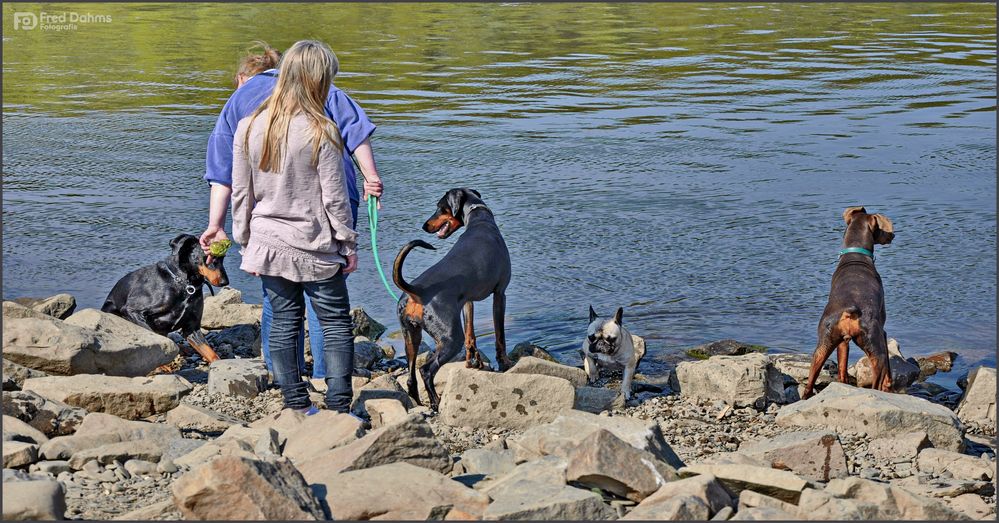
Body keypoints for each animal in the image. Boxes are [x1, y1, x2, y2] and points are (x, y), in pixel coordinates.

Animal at [105, 234, 230, 364]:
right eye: (207, 258)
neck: (186, 285)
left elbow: (211, 353)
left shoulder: (192, 328)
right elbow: (154, 341)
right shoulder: (132, 310)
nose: (225, 282)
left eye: (223, 257)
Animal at [392, 190, 512, 412]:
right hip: (450, 339)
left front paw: (473, 363)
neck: (479, 219)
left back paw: (420, 403)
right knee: (426, 370)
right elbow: (500, 336)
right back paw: (436, 402)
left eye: (440, 208)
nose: (424, 226)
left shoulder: (467, 302)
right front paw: (505, 363)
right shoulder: (500, 293)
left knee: (411, 376)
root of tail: (417, 291)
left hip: (411, 337)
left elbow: (471, 335)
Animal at [804, 207, 900, 400]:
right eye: (882, 228)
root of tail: (850, 311)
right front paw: (889, 387)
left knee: (809, 382)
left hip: (823, 345)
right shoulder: (883, 332)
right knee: (878, 378)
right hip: (876, 348)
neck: (856, 255)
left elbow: (842, 367)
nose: (893, 236)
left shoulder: (843, 341)